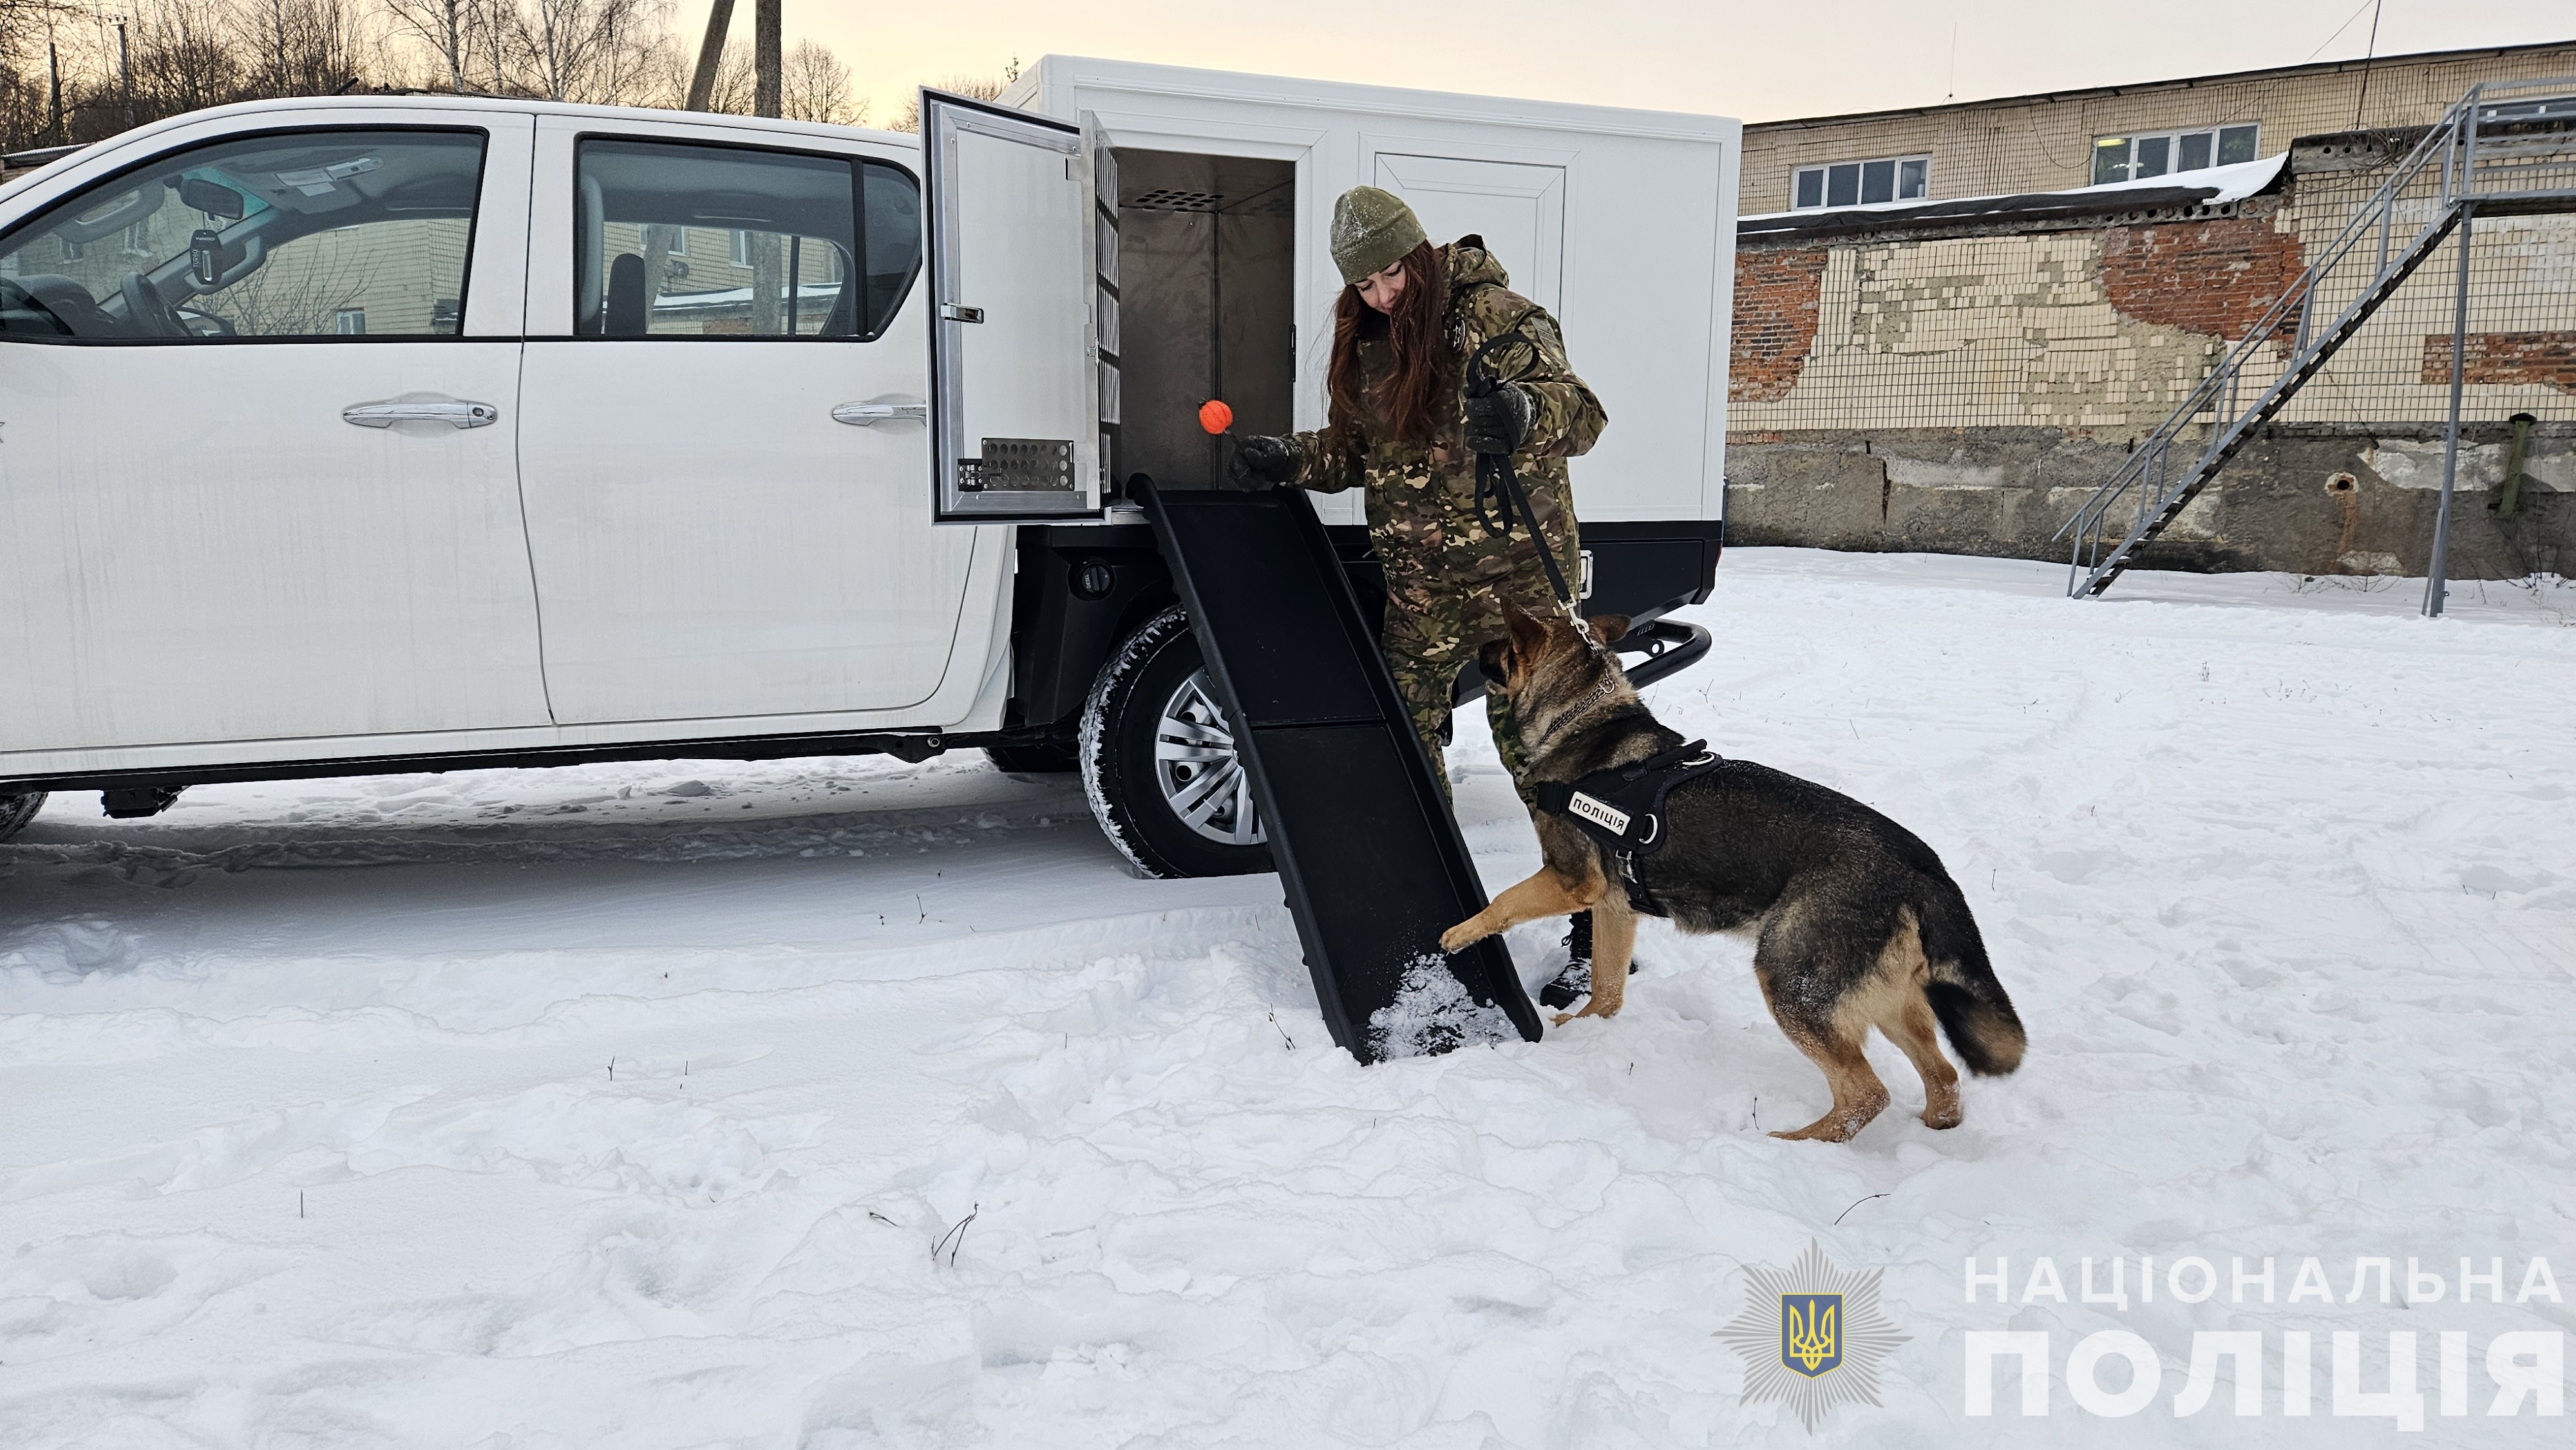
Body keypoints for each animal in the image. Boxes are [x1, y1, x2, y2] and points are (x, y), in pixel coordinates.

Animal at [1443, 608, 2020, 1138]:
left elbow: (1504, 902)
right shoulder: (1614, 908)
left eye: (1497, 644)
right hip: (1886, 999)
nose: (1465, 661)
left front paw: (1460, 932)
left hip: (1791, 982)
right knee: (1944, 1078)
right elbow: (1606, 989)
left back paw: (1795, 1143)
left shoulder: (1571, 880)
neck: (1582, 716)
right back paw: (1931, 1130)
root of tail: (1922, 866)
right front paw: (1584, 1032)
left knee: (1866, 1094)